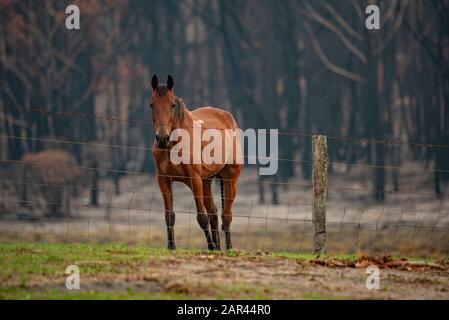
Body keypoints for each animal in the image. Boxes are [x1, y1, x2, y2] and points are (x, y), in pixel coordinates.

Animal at [150, 75, 242, 250]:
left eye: (172, 105)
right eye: (151, 104)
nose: (162, 139)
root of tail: (229, 119)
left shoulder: (195, 180)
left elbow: (201, 218)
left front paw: (210, 247)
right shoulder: (163, 179)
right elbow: (169, 216)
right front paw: (171, 247)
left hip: (229, 179)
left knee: (226, 216)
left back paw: (228, 248)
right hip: (206, 181)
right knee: (213, 213)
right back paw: (218, 249)